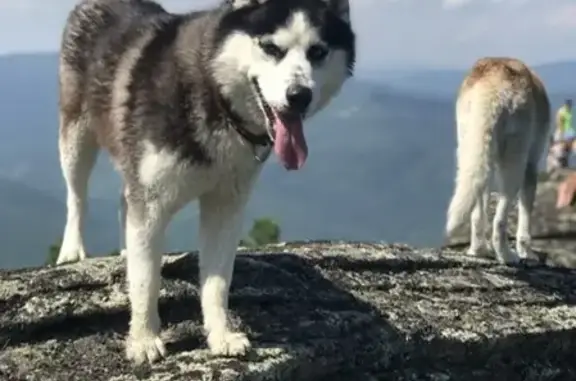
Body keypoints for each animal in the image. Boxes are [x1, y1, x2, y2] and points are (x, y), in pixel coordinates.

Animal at [58, 0, 356, 364]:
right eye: (271, 48)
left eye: (318, 52)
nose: (299, 95)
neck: (214, 93)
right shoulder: (152, 202)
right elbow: (146, 280)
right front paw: (143, 338)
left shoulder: (226, 205)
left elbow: (217, 281)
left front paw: (220, 335)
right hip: (76, 135)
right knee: (77, 195)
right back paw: (72, 250)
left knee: (124, 200)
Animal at [446, 57, 548, 264]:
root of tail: (493, 80)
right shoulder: (531, 166)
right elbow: (525, 218)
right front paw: (527, 253)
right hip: (513, 162)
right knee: (499, 221)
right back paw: (506, 255)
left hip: (473, 149)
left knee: (477, 213)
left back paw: (478, 250)